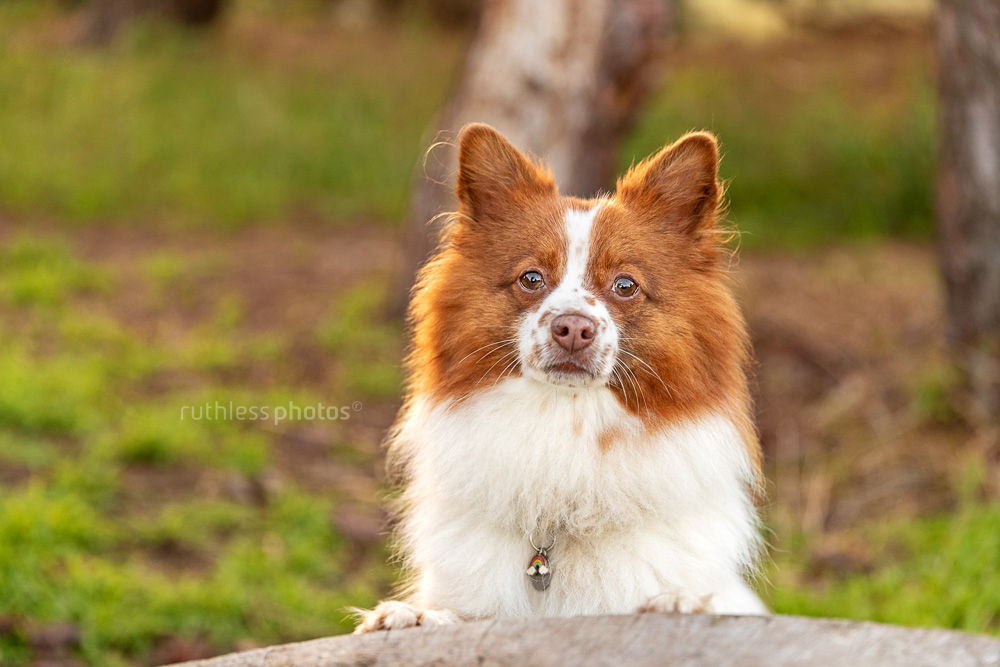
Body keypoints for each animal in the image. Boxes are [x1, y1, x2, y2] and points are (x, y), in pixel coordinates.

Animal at [358, 122, 764, 636]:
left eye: (625, 285)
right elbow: (453, 613)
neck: (565, 428)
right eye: (531, 278)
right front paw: (412, 616)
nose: (572, 328)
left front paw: (679, 603)